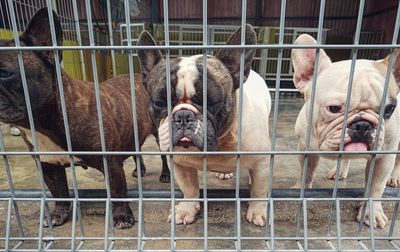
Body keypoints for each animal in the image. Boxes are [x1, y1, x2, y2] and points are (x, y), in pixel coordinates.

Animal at [0, 7, 170, 228]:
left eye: (4, 73)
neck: (44, 124)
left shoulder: (110, 163)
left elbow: (117, 191)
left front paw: (122, 216)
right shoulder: (48, 165)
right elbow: (59, 192)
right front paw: (59, 214)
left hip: (159, 133)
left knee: (163, 156)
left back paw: (165, 175)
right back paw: (139, 170)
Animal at [138, 24, 272, 226]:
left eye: (212, 102)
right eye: (159, 102)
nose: (183, 116)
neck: (220, 145)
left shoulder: (261, 162)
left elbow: (259, 190)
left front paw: (257, 211)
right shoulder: (180, 164)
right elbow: (189, 188)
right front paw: (186, 209)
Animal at [290, 33, 400, 228]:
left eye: (389, 109)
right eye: (334, 108)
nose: (362, 125)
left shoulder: (384, 156)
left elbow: (376, 186)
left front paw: (371, 213)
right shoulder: (305, 150)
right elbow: (306, 174)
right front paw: (299, 191)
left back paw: (393, 178)